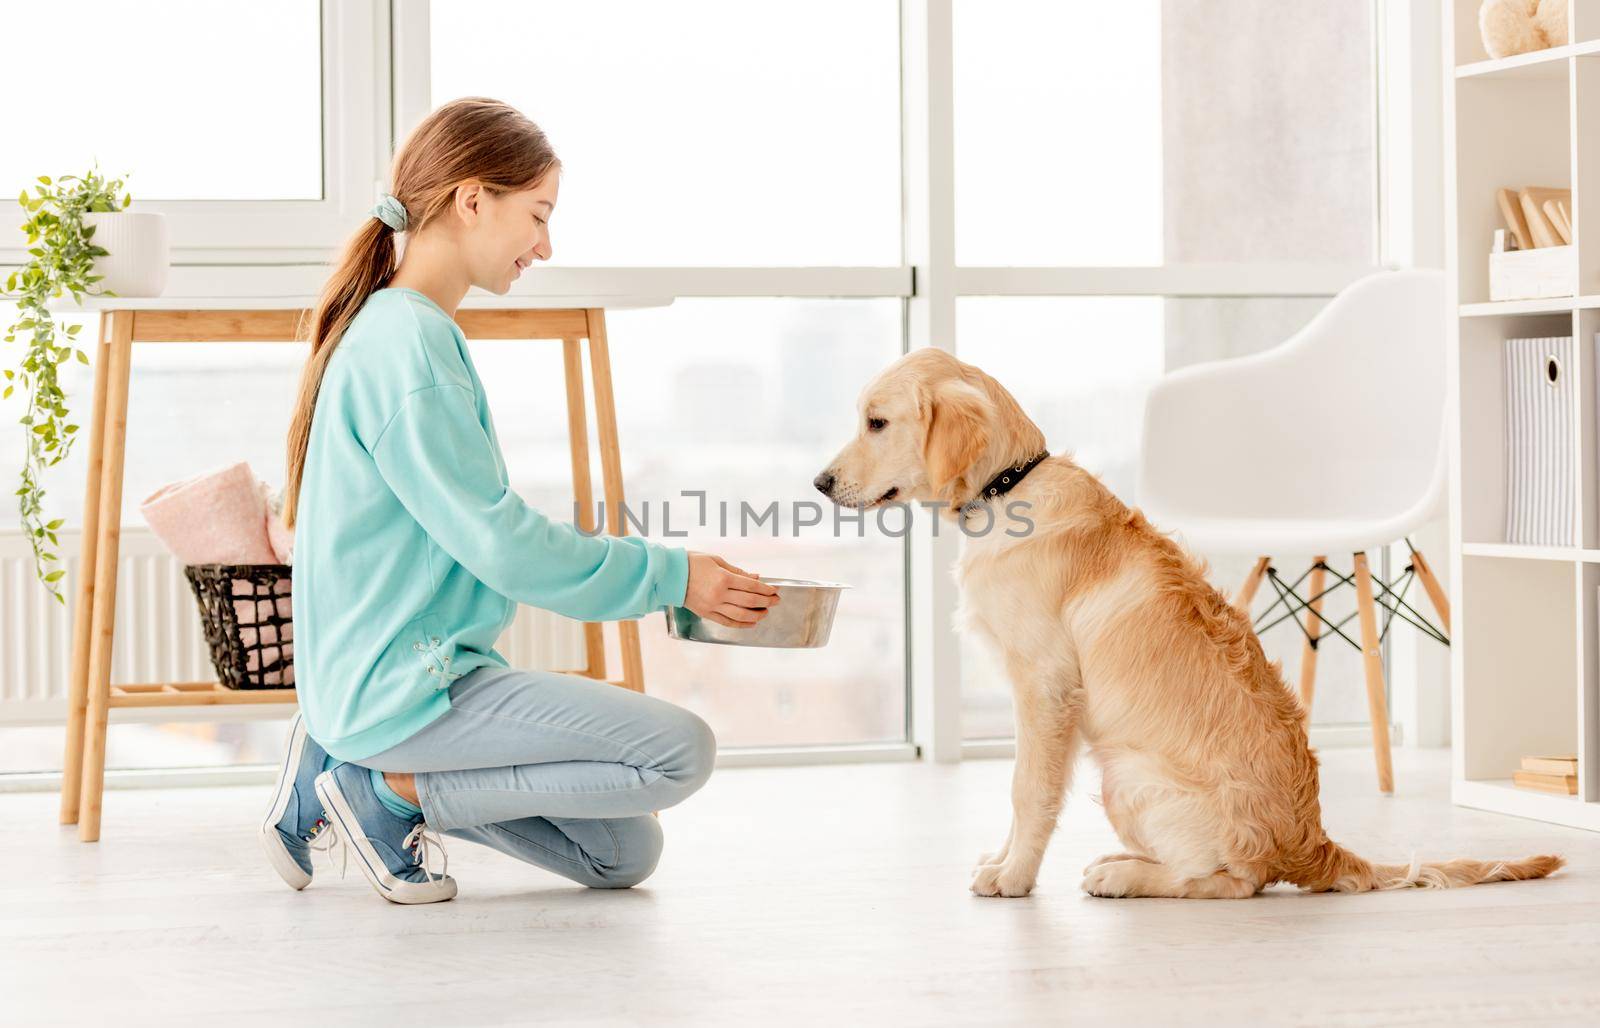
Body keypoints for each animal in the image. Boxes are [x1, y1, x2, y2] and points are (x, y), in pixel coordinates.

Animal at [812, 349, 1561, 890]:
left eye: (876, 422)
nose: (819, 482)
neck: (1009, 486)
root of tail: (1313, 844)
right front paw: (1002, 862)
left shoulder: (1046, 687)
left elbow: (1029, 789)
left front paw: (1013, 876)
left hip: (1126, 775)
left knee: (1230, 881)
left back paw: (1124, 876)